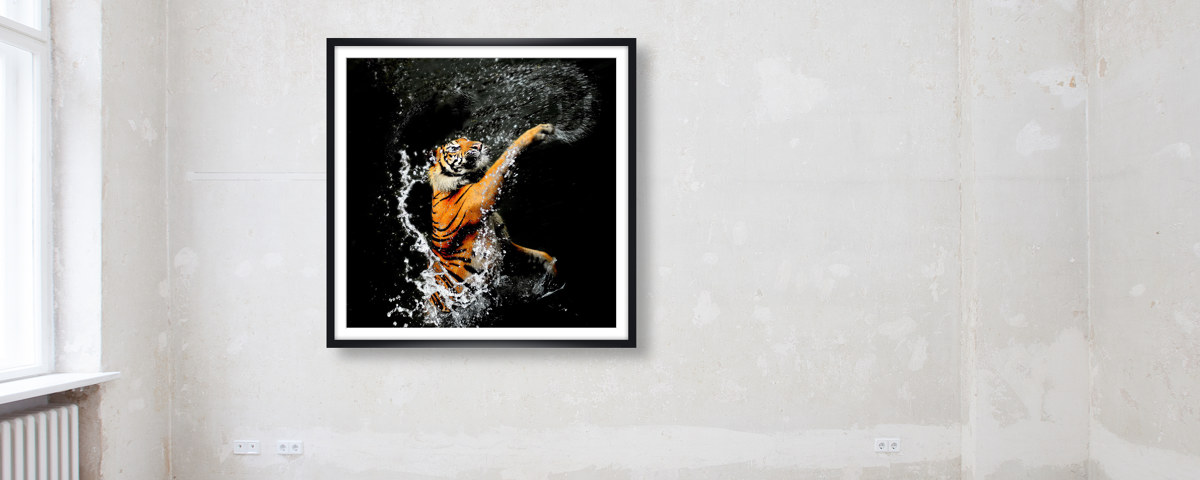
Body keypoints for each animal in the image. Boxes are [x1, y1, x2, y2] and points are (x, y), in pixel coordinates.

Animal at [425, 123, 558, 313]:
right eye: (455, 148)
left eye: (467, 139)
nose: (478, 145)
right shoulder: (482, 193)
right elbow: (505, 158)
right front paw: (538, 131)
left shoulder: (506, 247)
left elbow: (542, 256)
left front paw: (553, 275)